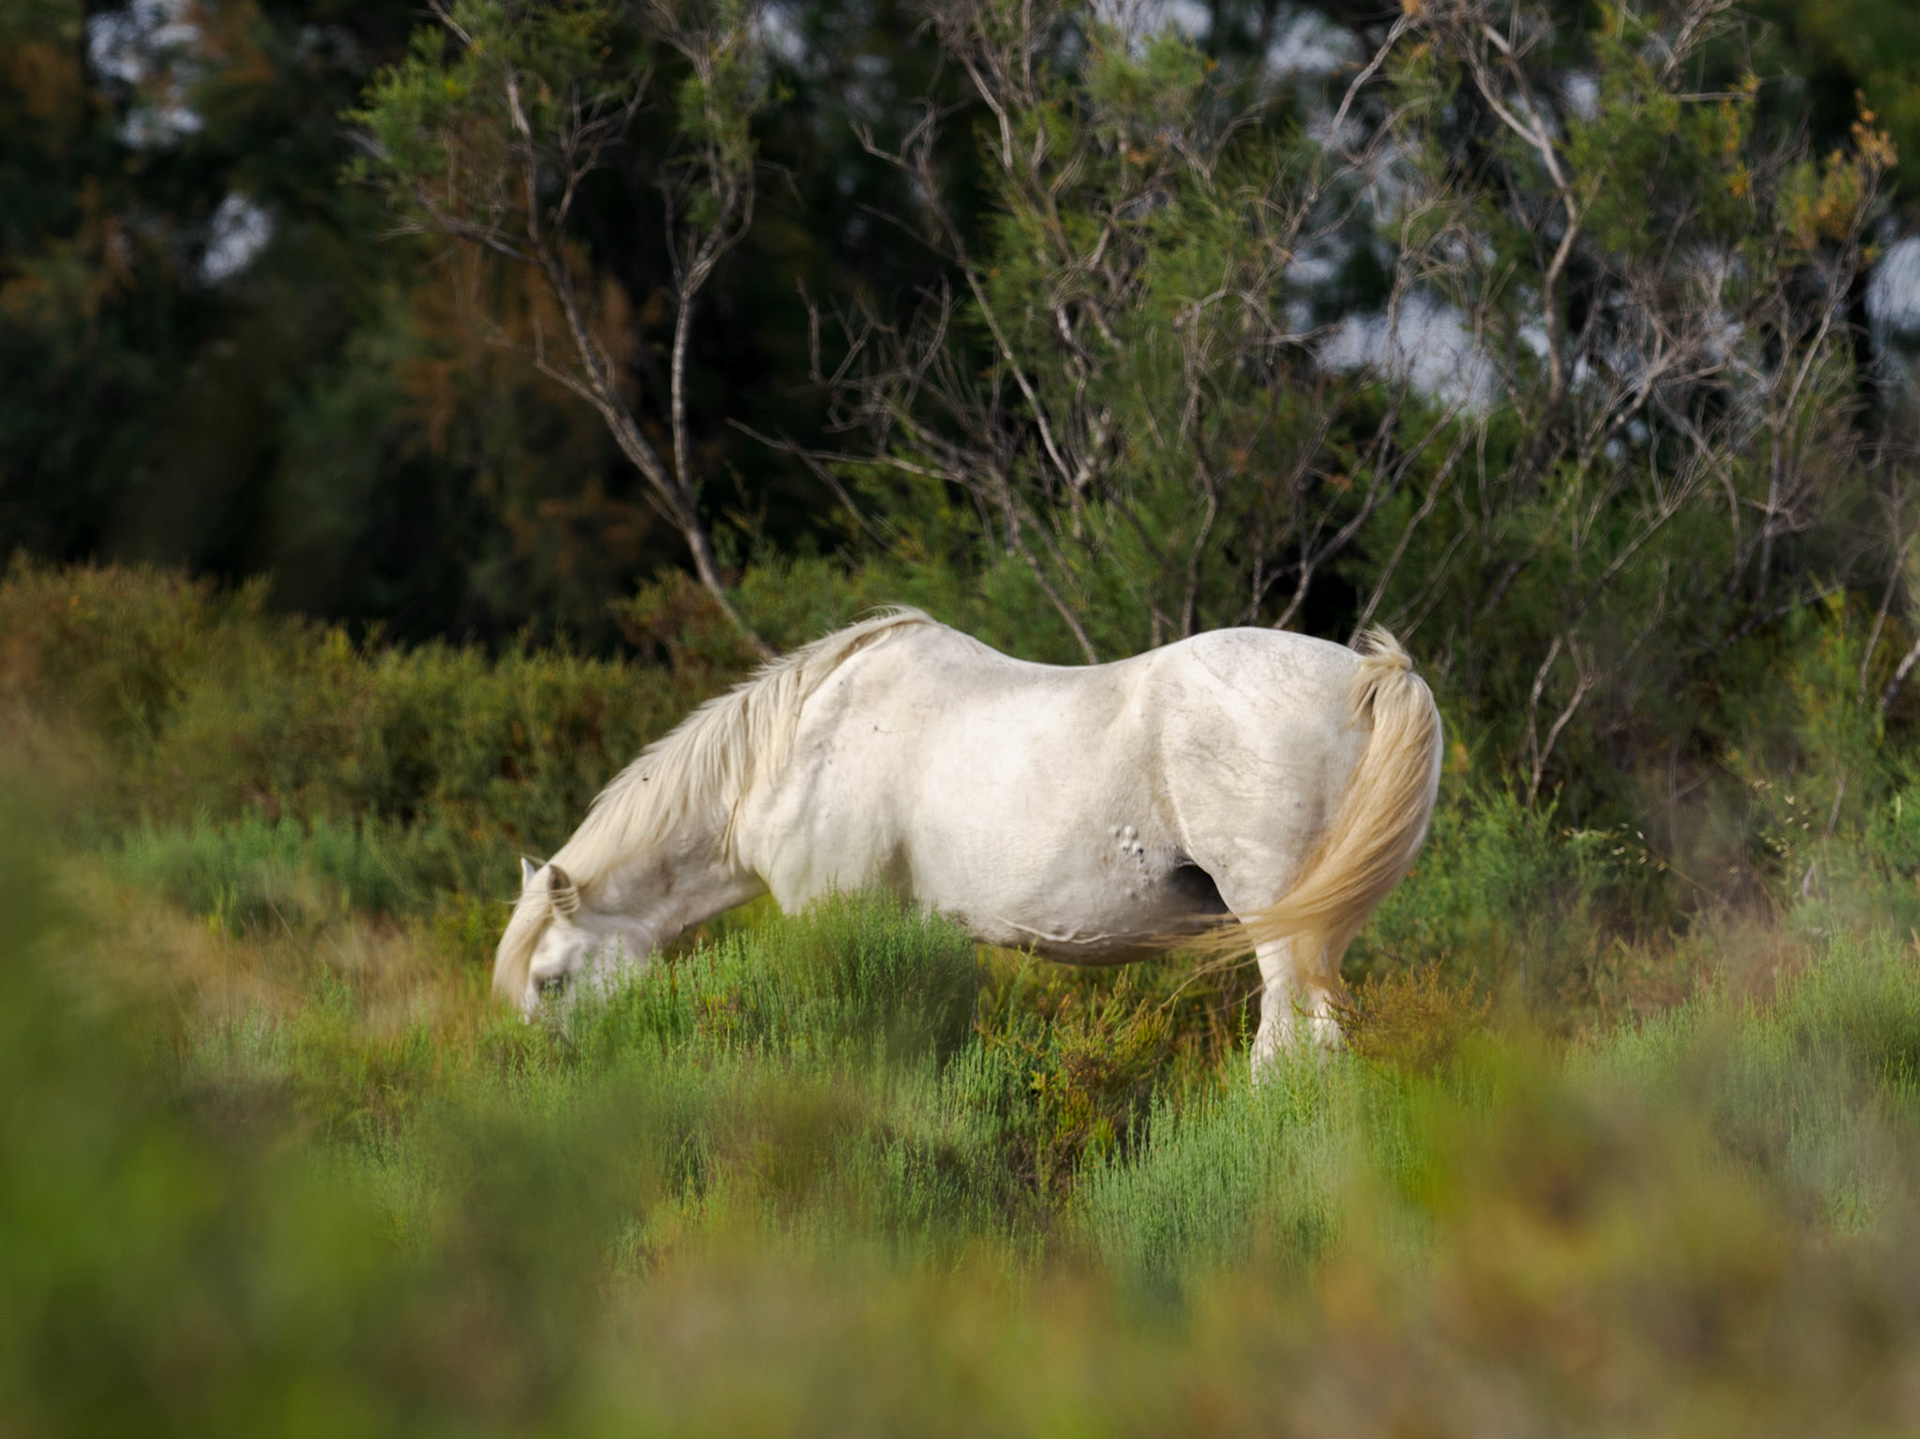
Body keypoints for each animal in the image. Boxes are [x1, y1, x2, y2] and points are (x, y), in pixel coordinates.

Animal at [493, 610, 1442, 1070]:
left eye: (553, 980)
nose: (552, 1075)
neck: (797, 746)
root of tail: (1369, 677)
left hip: (1279, 928)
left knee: (1294, 1050)